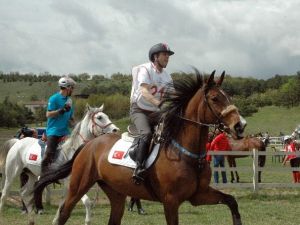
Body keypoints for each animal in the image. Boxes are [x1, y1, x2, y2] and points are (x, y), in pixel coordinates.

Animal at [34, 70, 246, 225]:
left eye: (228, 96)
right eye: (215, 99)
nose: (240, 125)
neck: (187, 153)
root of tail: (88, 145)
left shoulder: (199, 195)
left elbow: (232, 201)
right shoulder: (171, 201)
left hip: (116, 193)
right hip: (78, 185)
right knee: (63, 213)